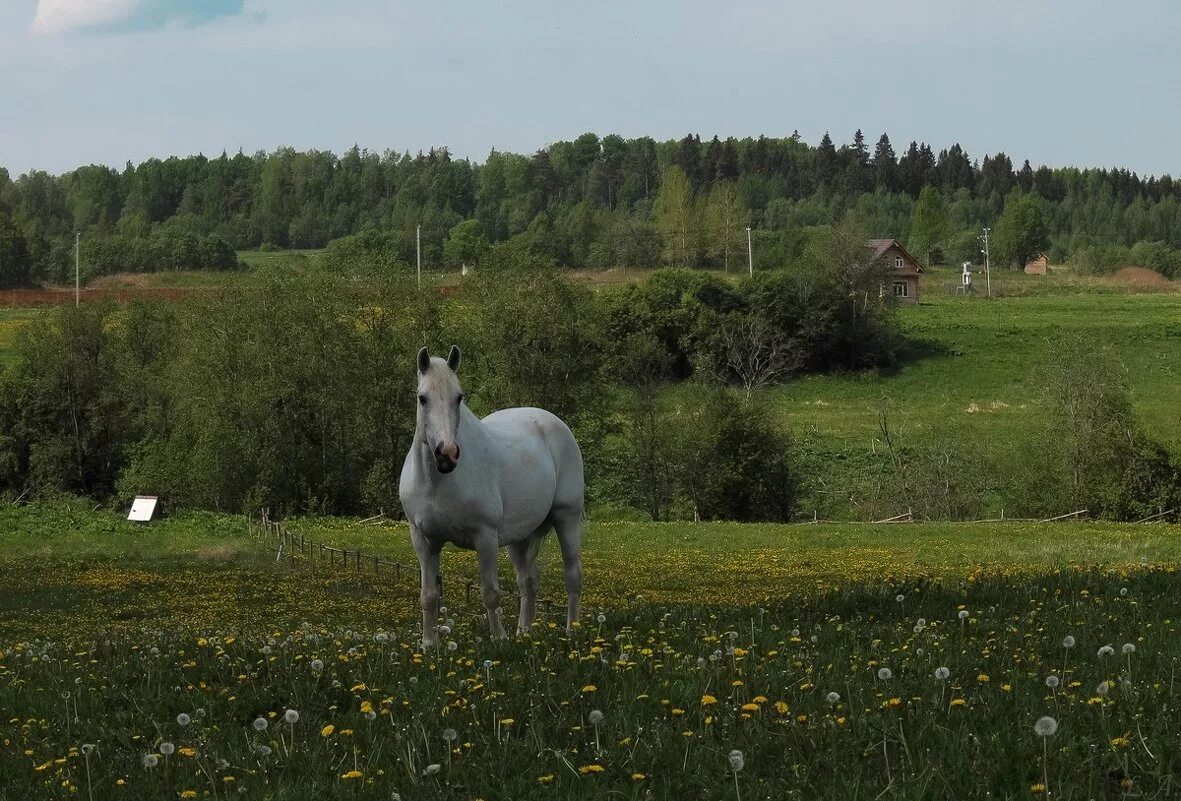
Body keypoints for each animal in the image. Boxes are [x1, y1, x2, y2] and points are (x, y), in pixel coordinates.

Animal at [399, 344, 583, 647]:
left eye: (458, 397)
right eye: (422, 398)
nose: (447, 455)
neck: (438, 483)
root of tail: (552, 423)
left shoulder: (485, 538)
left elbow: (490, 593)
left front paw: (499, 640)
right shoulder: (424, 541)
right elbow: (429, 596)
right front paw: (428, 644)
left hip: (566, 518)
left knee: (572, 576)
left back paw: (571, 631)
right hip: (519, 539)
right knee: (528, 582)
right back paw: (524, 632)